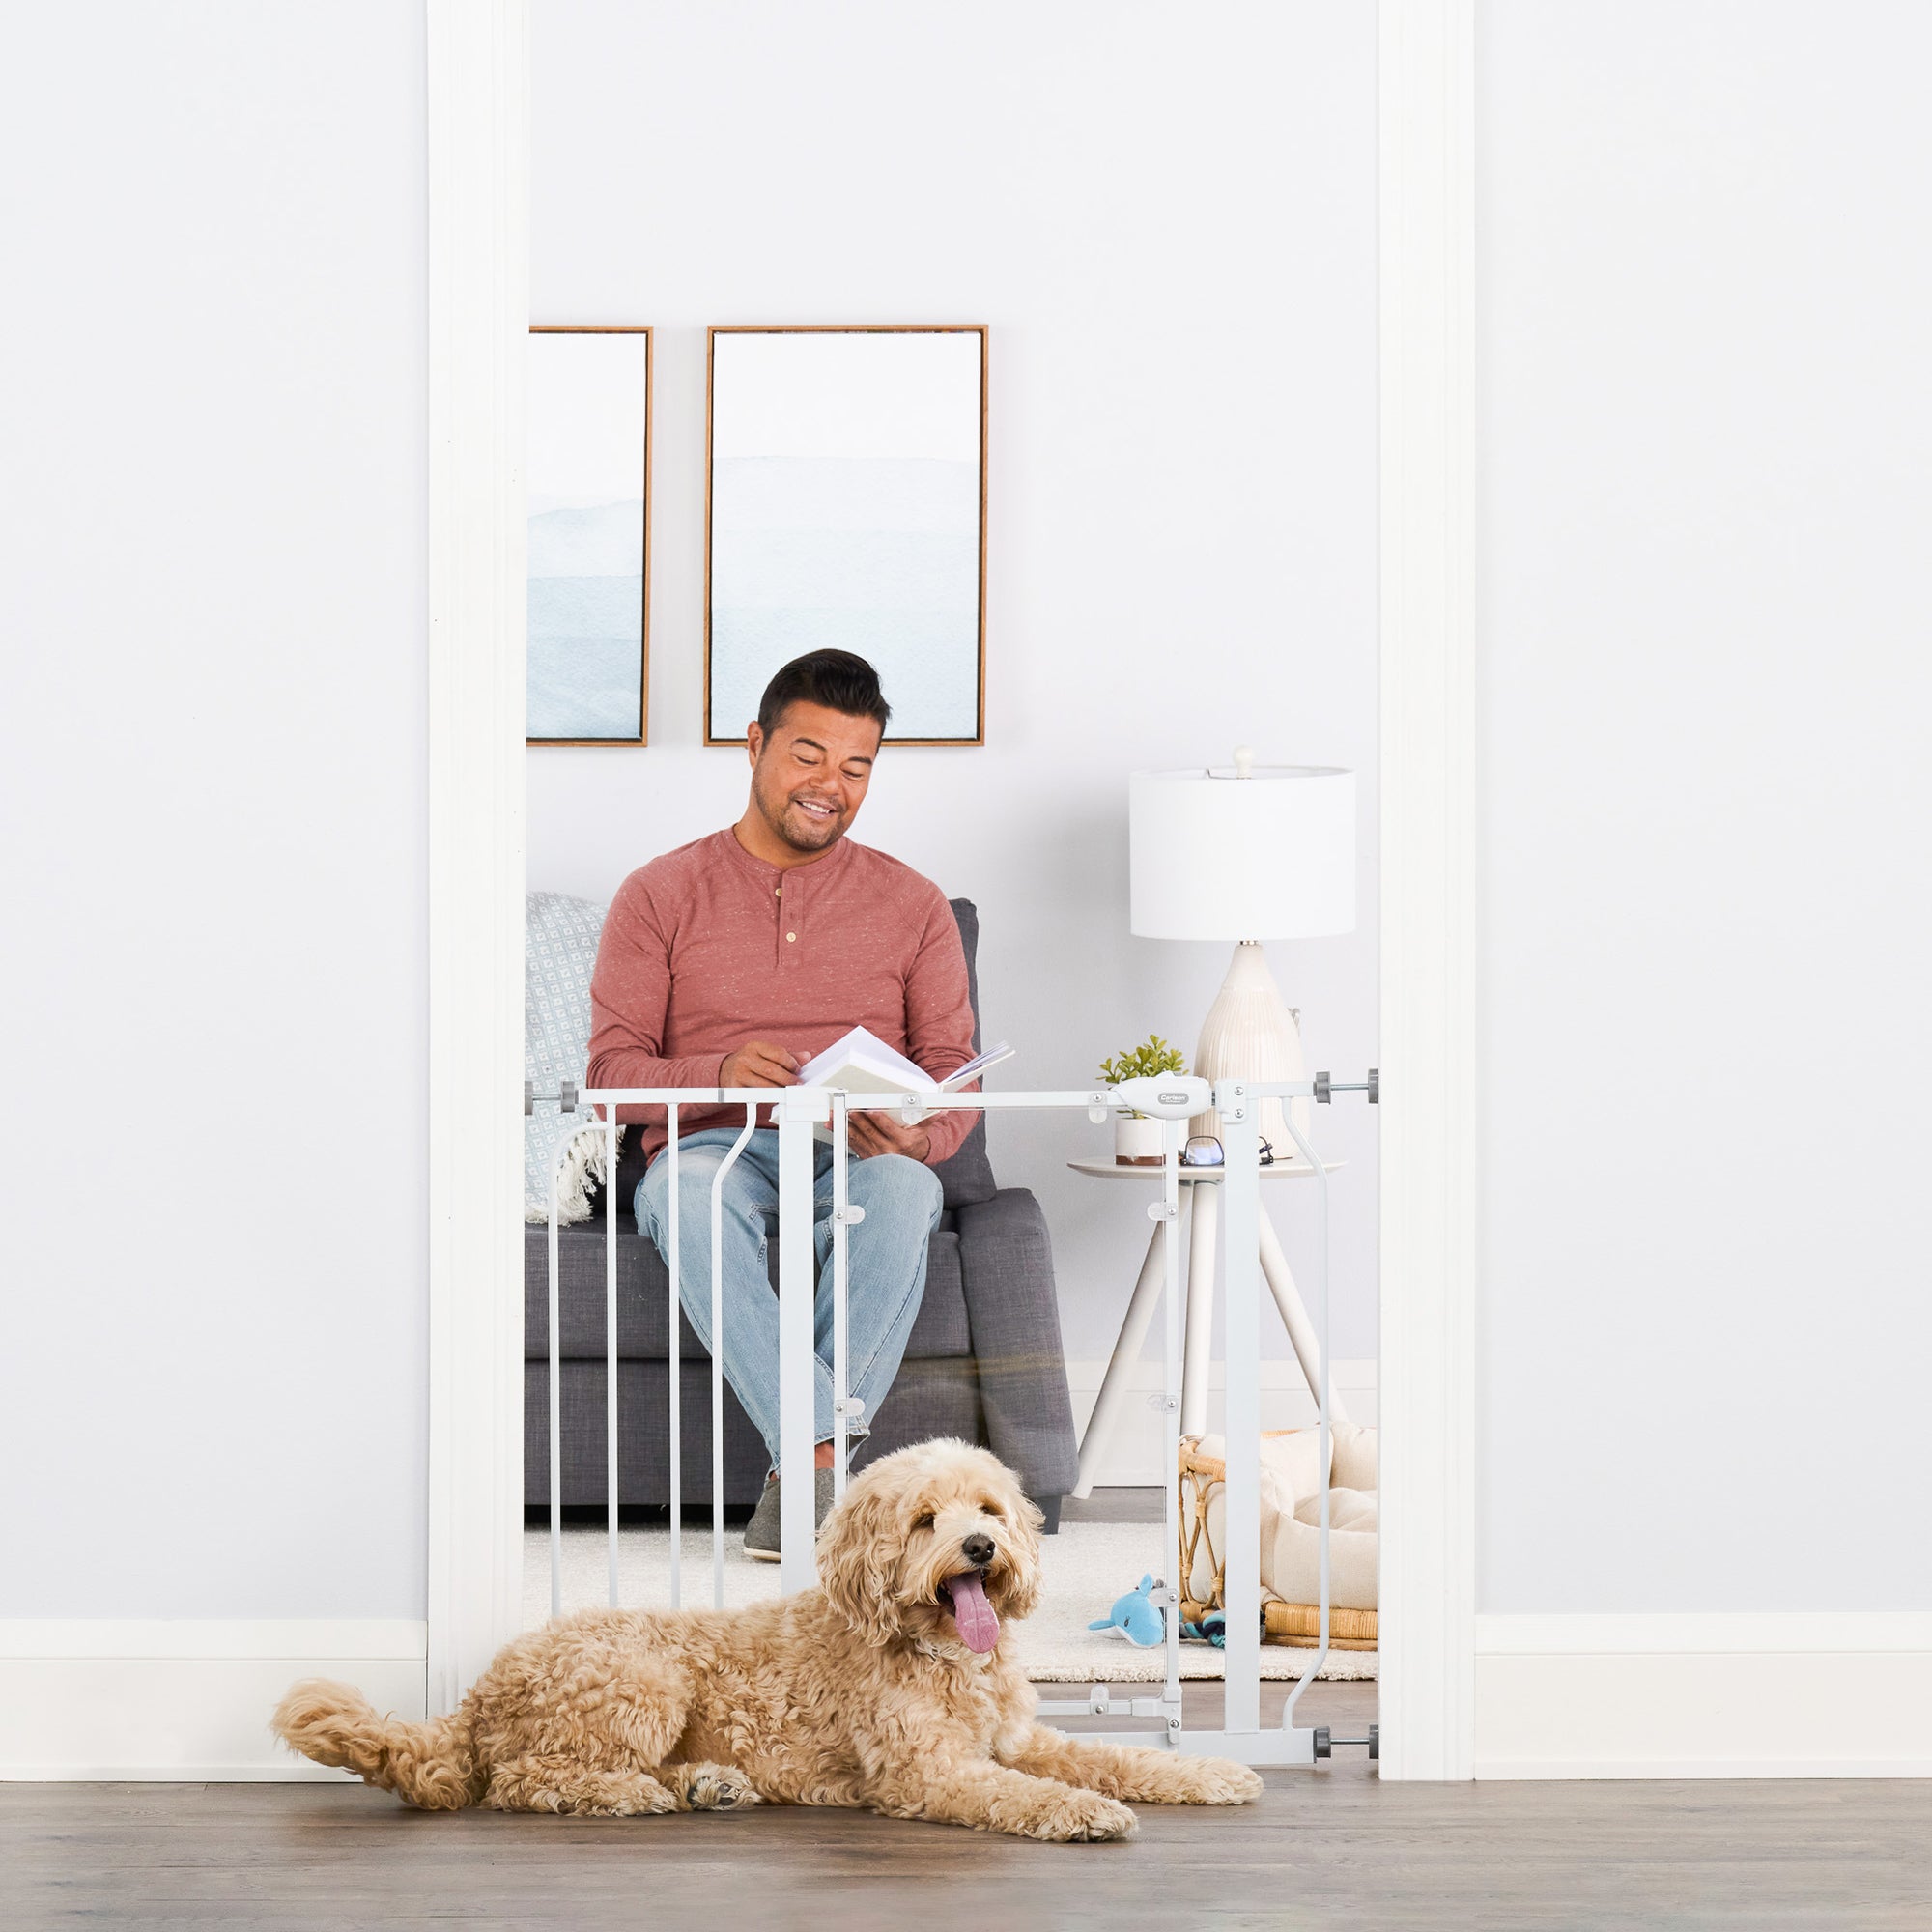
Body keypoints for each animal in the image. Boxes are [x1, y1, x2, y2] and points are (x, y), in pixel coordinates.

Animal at [276, 1437, 1267, 1839]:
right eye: (924, 1520)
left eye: (988, 1509)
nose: (983, 1547)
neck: (938, 1654)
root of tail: (479, 1693)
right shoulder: (931, 1773)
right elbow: (1022, 1793)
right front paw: (1085, 1814)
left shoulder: (1020, 1738)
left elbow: (1120, 1757)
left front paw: (1213, 1773)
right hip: (643, 1682)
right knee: (525, 1780)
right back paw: (634, 1796)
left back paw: (707, 1785)